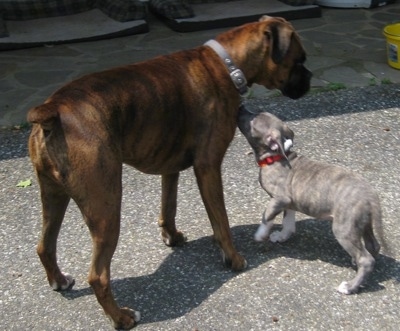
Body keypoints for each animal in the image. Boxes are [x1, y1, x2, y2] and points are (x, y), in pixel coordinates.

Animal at [28, 15, 310, 330]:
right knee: (98, 276)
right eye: (300, 60)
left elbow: (169, 206)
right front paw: (233, 258)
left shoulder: (170, 168)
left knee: (45, 245)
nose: (310, 79)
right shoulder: (208, 167)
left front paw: (172, 237)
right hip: (106, 206)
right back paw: (122, 317)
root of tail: (53, 109)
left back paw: (59, 280)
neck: (227, 64)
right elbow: (221, 221)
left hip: (53, 195)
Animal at [238, 107, 384, 296]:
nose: (240, 108)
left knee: (366, 260)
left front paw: (260, 234)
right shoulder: (289, 202)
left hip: (344, 228)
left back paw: (350, 287)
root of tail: (370, 194)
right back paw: (358, 266)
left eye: (252, 121)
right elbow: (288, 222)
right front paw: (282, 236)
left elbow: (267, 215)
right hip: (362, 223)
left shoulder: (280, 198)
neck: (276, 157)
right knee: (373, 246)